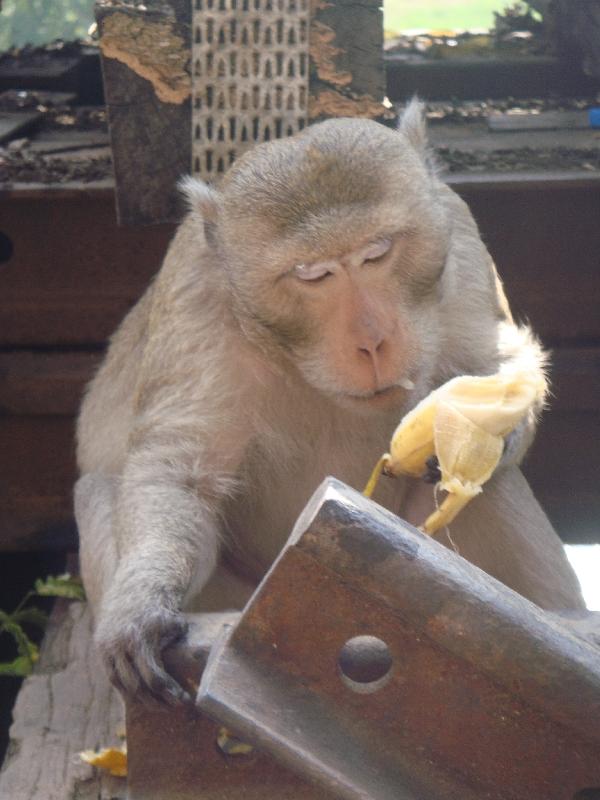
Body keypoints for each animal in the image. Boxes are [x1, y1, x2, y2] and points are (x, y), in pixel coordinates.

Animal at [74, 101, 580, 708]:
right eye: (312, 275)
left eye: (377, 253)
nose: (372, 341)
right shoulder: (195, 295)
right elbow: (179, 471)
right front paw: (142, 604)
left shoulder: (459, 240)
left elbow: (498, 364)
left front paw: (485, 430)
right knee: (97, 487)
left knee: (490, 489)